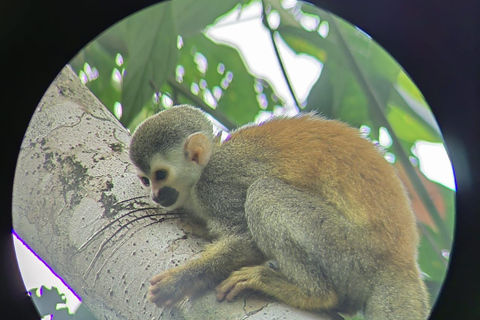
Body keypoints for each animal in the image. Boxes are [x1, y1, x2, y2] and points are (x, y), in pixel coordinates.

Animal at [129, 105, 430, 320]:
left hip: (353, 252)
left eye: (161, 175)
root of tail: (401, 261)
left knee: (264, 193)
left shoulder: (218, 185)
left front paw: (179, 281)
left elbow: (246, 239)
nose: (156, 195)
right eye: (145, 180)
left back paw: (312, 294)